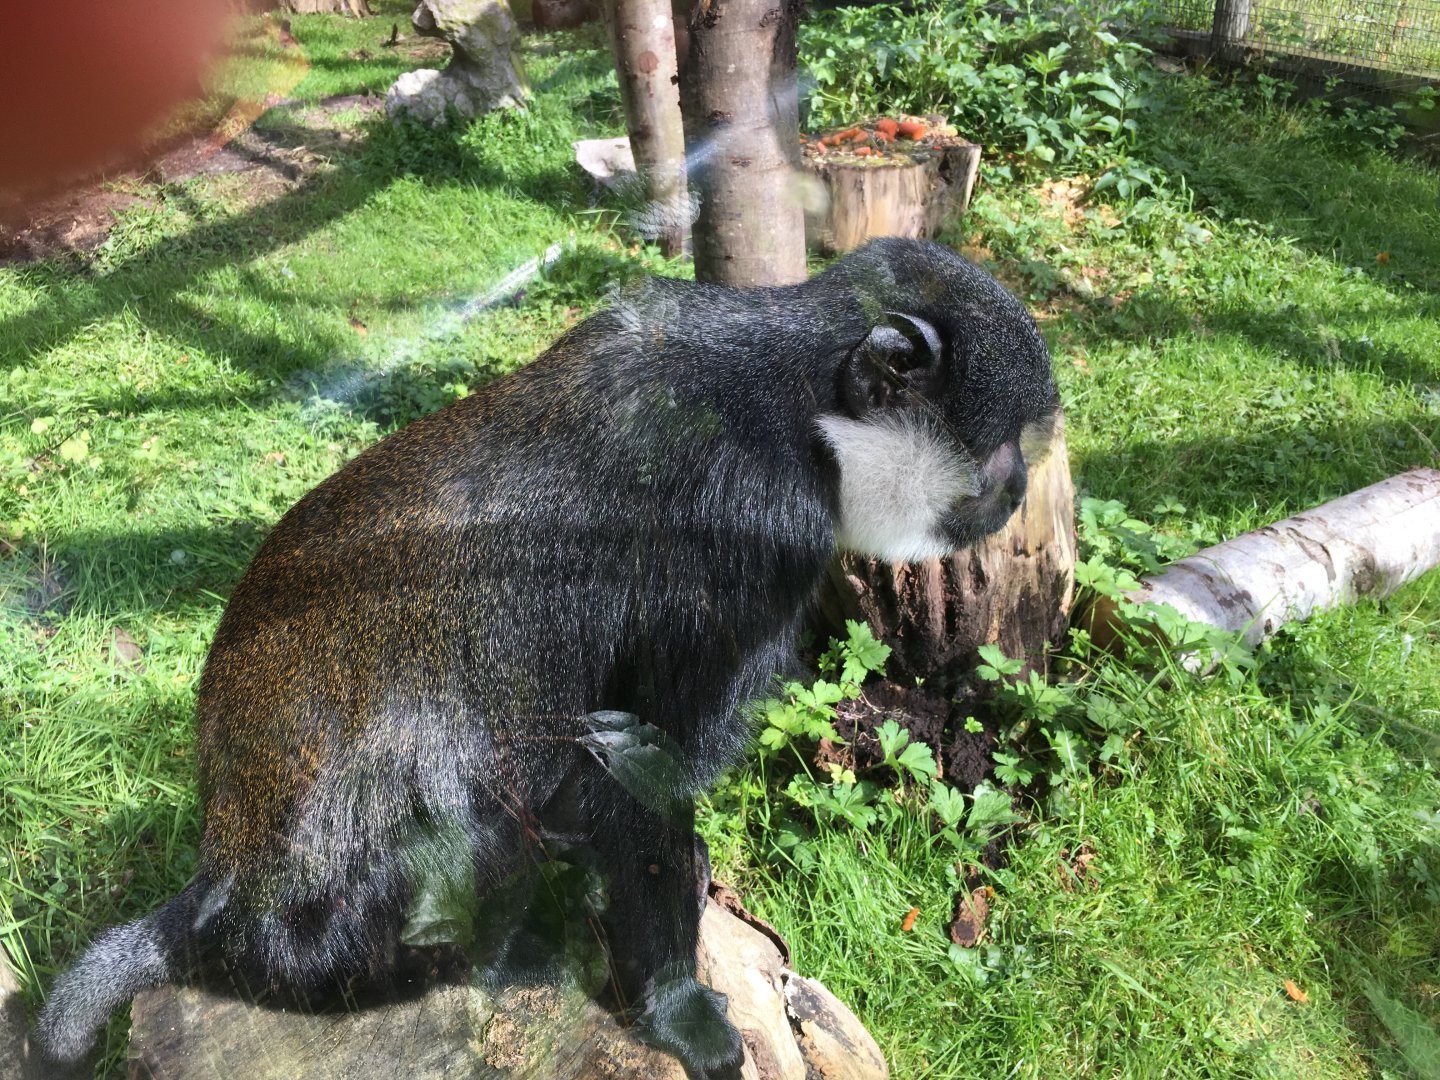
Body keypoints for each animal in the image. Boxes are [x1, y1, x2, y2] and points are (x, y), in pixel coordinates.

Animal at [37, 237, 1060, 1078]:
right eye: (1000, 456)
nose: (1016, 491)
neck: (800, 405)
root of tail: (222, 891)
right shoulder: (756, 528)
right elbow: (632, 782)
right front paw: (681, 1013)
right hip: (340, 921)